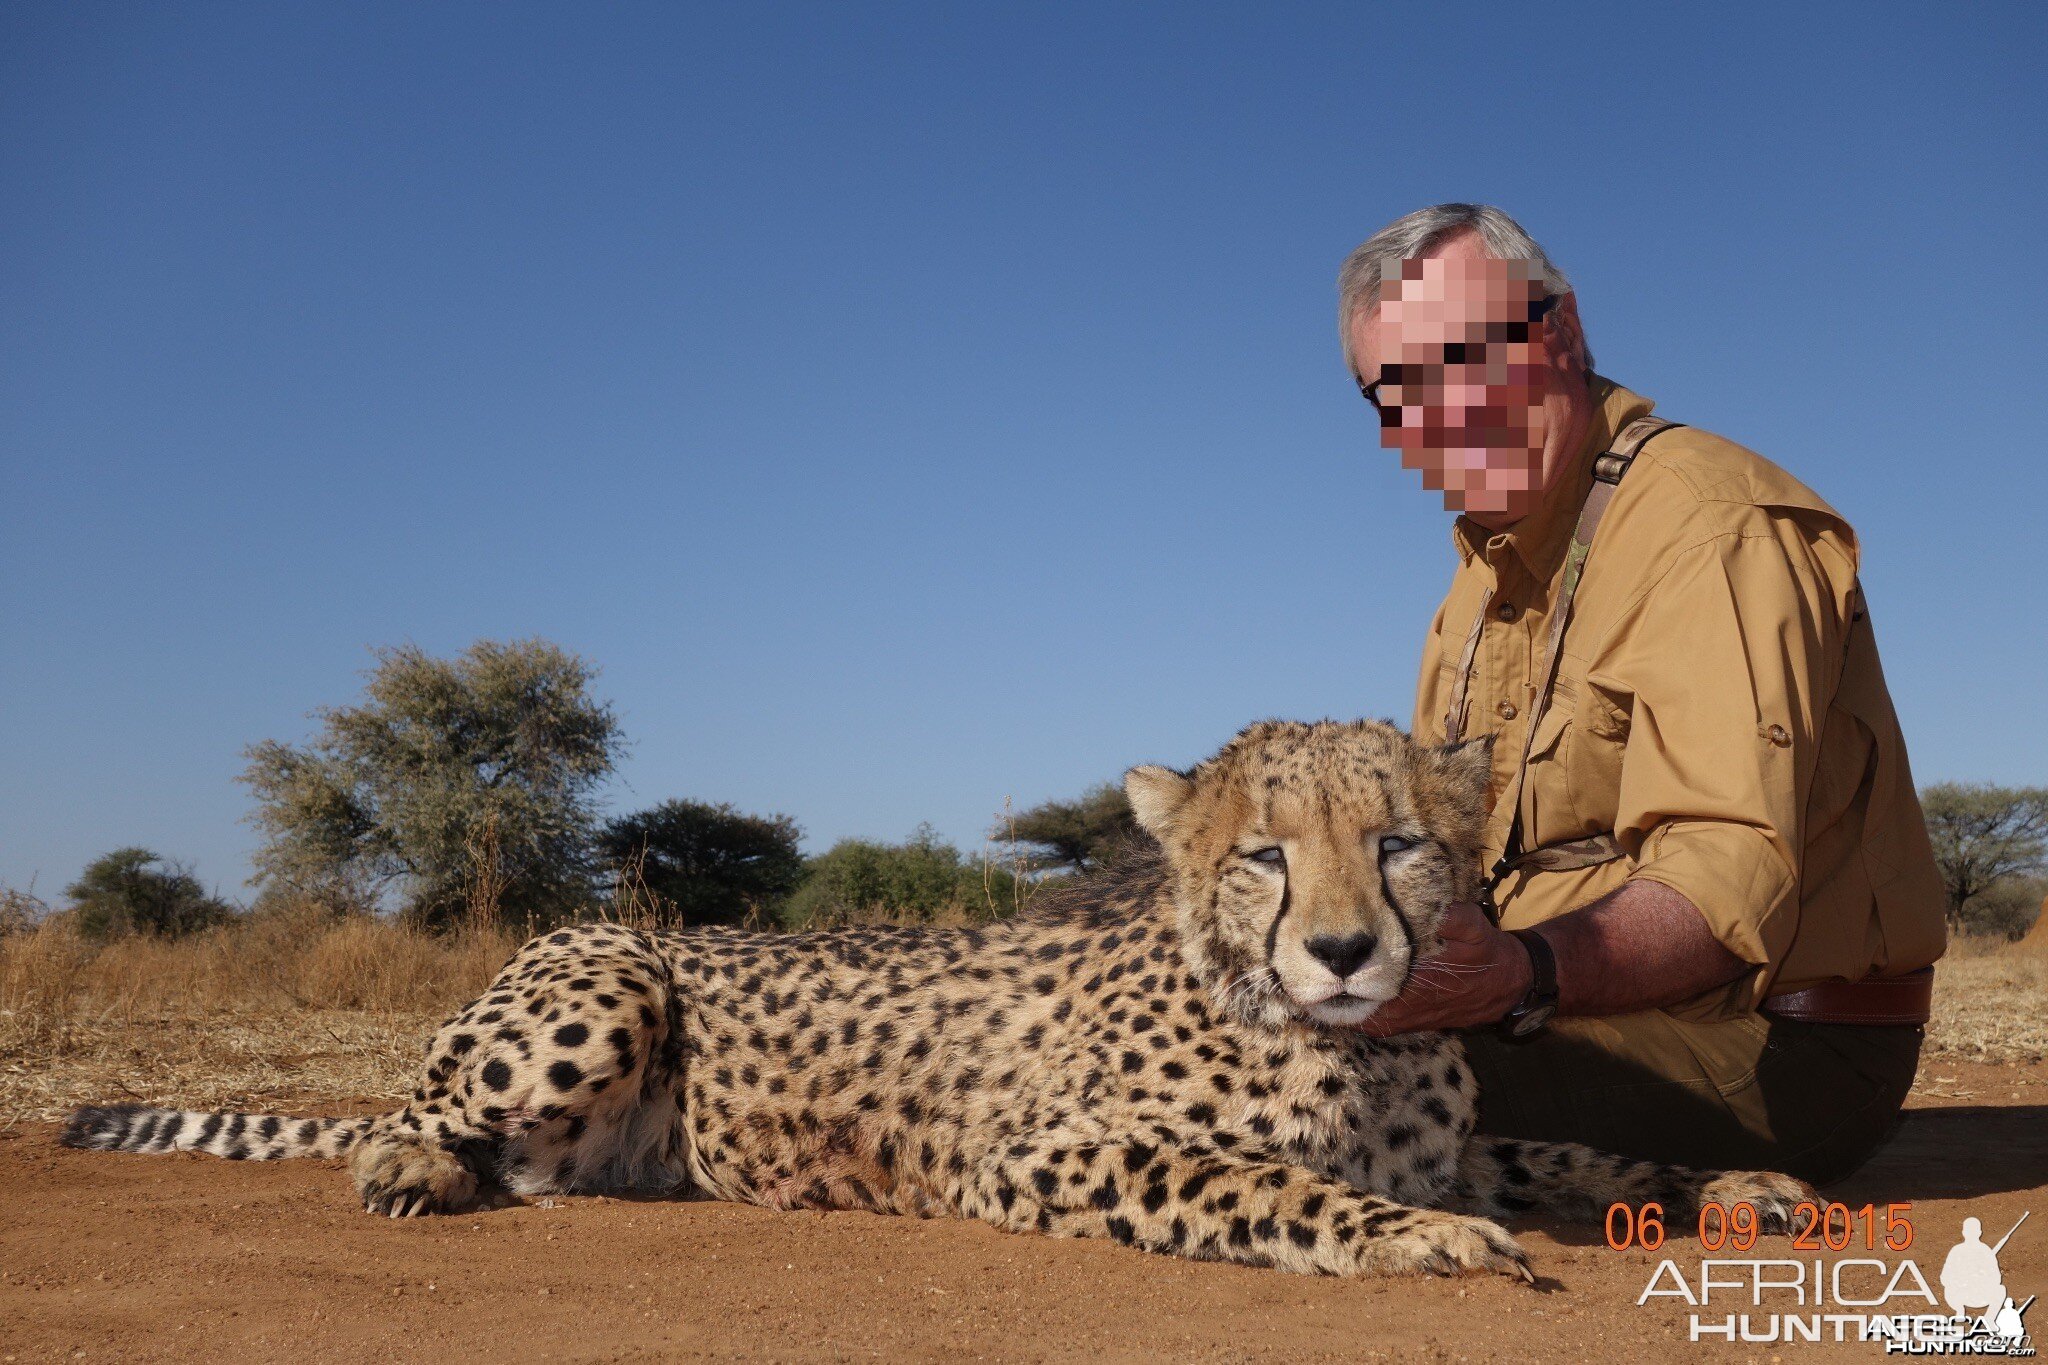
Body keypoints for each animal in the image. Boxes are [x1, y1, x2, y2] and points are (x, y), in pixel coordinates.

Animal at [64, 720, 1810, 1277]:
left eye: (1397, 844)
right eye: (1261, 855)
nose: (1340, 952)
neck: (1350, 1050)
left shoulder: (1453, 1131)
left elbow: (1573, 1154)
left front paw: (1729, 1185)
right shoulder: (1033, 1153)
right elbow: (1265, 1180)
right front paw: (1413, 1241)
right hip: (613, 971)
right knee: (419, 1107)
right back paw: (408, 1164)